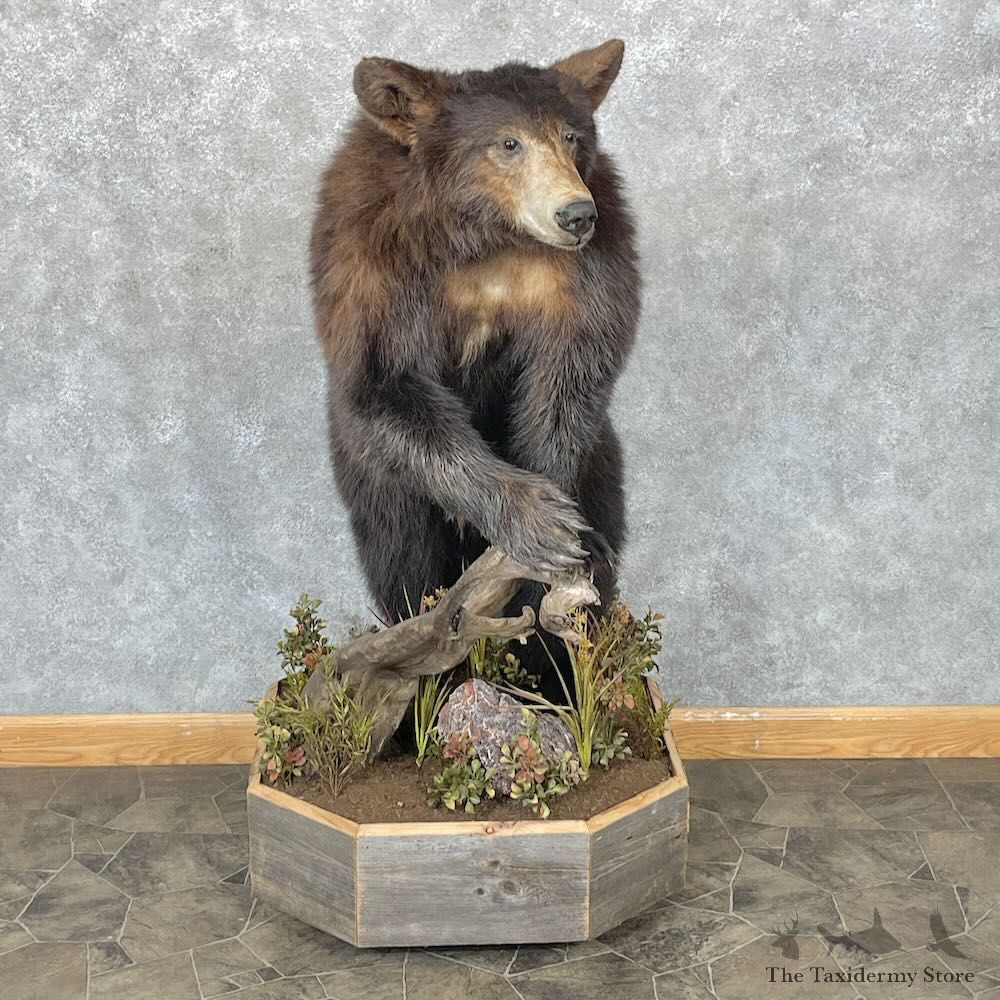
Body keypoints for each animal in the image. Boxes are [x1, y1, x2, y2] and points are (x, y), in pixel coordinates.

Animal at [309, 39, 640, 693]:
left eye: (570, 136)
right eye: (508, 143)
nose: (575, 214)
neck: (485, 235)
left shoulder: (587, 270)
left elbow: (573, 371)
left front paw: (556, 524)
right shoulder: (371, 262)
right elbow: (382, 382)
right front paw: (534, 517)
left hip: (604, 463)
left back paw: (550, 675)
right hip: (377, 484)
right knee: (402, 564)